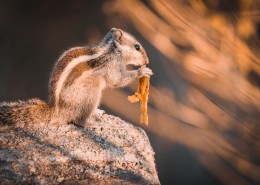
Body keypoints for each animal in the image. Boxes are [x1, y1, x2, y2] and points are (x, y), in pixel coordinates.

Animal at [0, 28, 153, 129]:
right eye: (137, 47)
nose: (147, 61)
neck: (111, 50)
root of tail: (57, 110)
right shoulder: (112, 66)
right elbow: (117, 80)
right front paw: (142, 71)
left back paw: (97, 112)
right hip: (91, 96)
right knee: (79, 121)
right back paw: (91, 123)